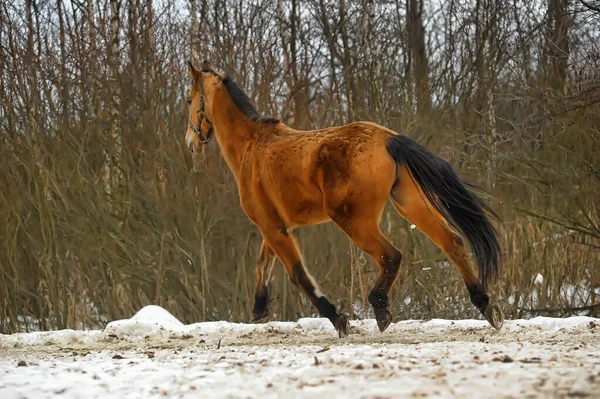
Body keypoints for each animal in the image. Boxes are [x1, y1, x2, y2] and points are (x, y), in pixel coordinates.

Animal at [185, 61, 504, 338]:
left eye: (189, 99)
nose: (190, 143)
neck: (252, 148)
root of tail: (388, 139)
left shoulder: (273, 228)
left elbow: (298, 275)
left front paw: (339, 319)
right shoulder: (276, 227)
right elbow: (263, 263)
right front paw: (259, 307)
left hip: (354, 220)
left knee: (391, 255)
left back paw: (380, 309)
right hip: (409, 204)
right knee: (452, 242)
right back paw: (486, 306)